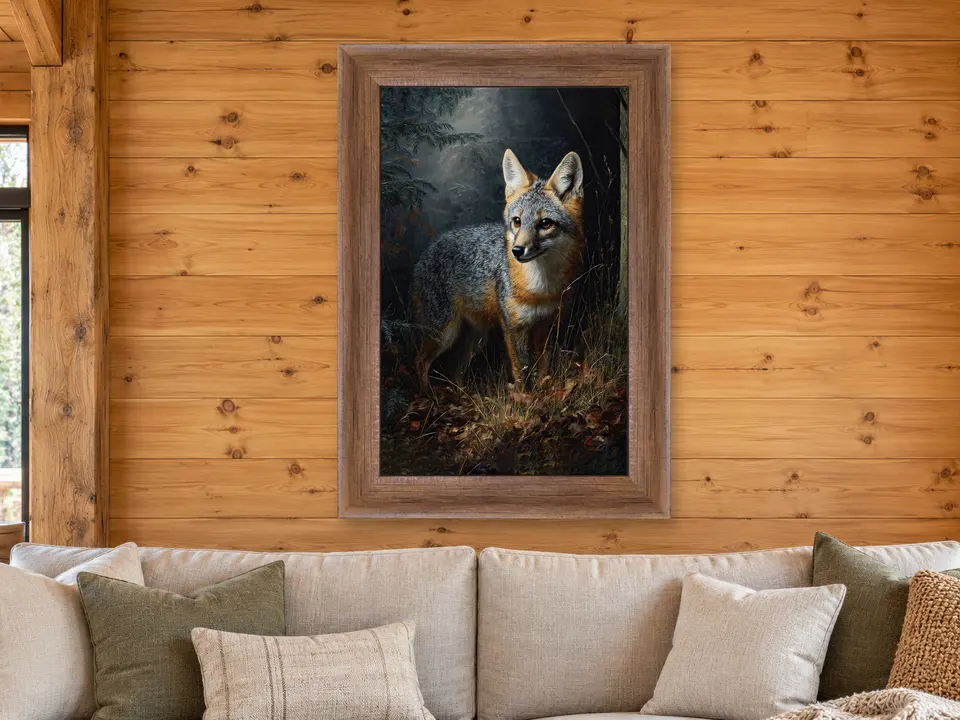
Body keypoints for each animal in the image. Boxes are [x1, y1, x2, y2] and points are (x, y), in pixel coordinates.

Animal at [410, 148, 585, 392]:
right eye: (517, 221)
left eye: (546, 223)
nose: (517, 250)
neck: (540, 288)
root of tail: (427, 251)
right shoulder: (513, 326)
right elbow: (521, 371)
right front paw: (525, 398)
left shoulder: (546, 325)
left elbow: (545, 366)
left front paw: (543, 390)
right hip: (445, 334)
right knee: (420, 361)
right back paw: (428, 396)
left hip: (476, 340)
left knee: (454, 370)